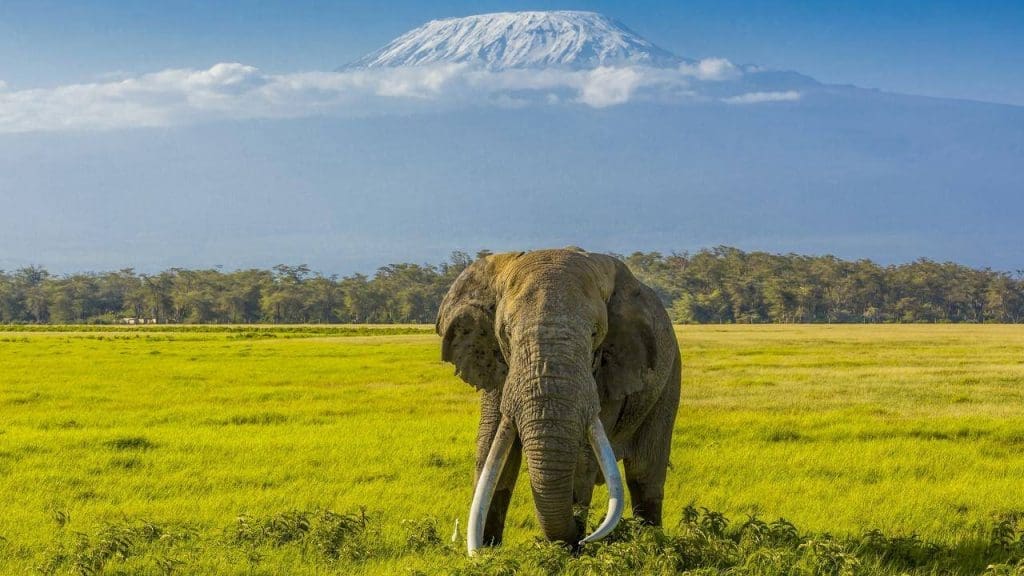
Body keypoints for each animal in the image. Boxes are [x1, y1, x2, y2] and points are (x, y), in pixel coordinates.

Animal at [435, 247, 681, 553]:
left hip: (669, 378)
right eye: (506, 333)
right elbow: (493, 450)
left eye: (595, 333)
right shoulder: (494, 364)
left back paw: (651, 543)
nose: (582, 540)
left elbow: (582, 458)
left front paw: (571, 552)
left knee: (645, 472)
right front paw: (488, 552)